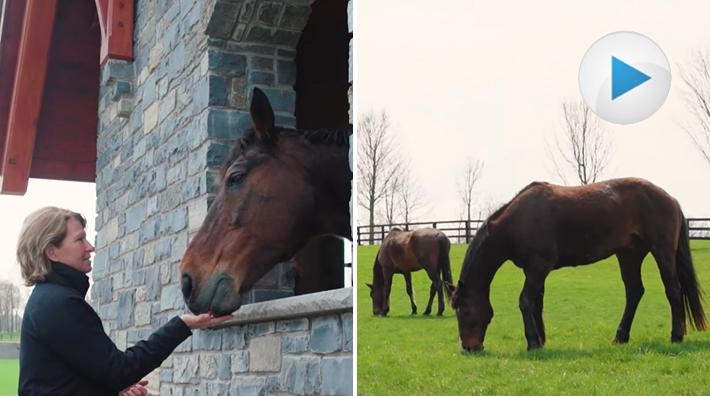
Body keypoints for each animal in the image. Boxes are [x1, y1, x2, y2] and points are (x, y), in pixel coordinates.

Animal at [454, 178, 708, 352]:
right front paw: (541, 340)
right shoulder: (534, 270)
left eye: (464, 311)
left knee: (673, 290)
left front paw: (533, 342)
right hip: (629, 255)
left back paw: (676, 336)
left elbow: (525, 301)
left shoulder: (538, 267)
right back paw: (620, 337)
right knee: (634, 292)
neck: (518, 221)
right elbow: (536, 303)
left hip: (662, 252)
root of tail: (670, 199)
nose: (469, 347)